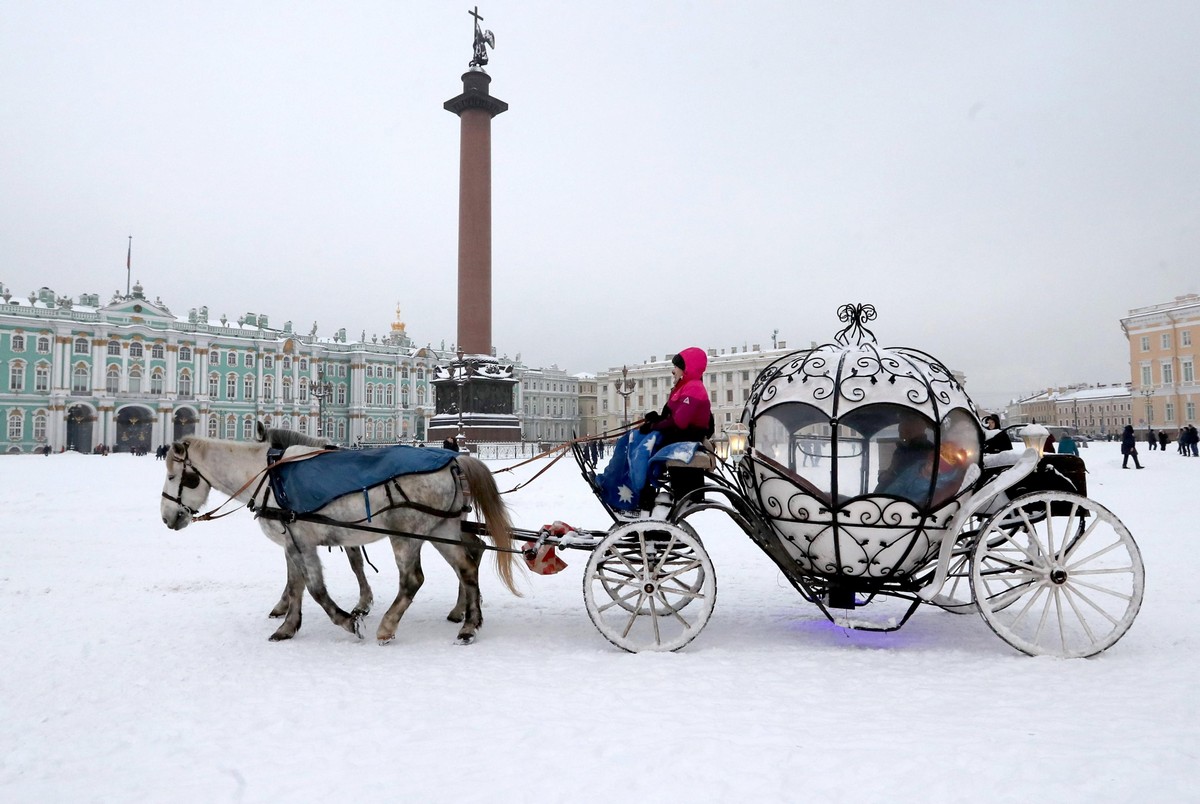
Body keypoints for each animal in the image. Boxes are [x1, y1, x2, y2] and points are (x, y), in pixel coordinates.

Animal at [157, 432, 518, 648]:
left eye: (175, 476)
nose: (166, 518)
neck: (269, 476)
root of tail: (454, 459)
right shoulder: (293, 543)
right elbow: (297, 586)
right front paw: (288, 626)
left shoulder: (303, 543)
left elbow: (316, 589)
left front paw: (348, 621)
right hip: (440, 530)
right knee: (467, 567)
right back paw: (469, 625)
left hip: (407, 535)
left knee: (413, 579)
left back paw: (388, 626)